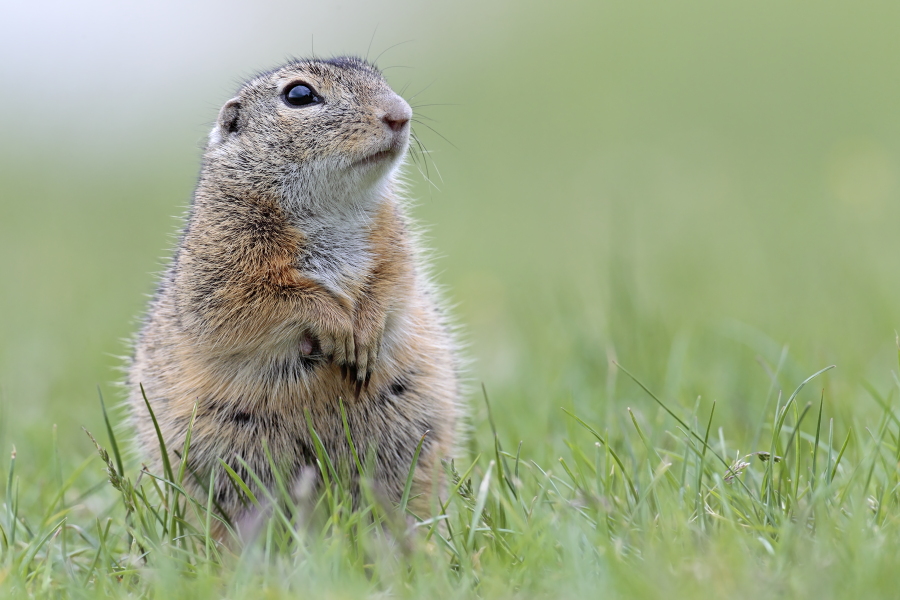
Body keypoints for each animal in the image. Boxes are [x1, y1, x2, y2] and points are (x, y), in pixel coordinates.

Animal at [127, 56, 462, 538]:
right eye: (299, 95)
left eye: (377, 73)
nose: (400, 114)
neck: (332, 209)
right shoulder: (224, 260)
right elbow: (261, 302)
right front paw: (336, 325)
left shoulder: (394, 241)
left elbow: (394, 283)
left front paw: (366, 332)